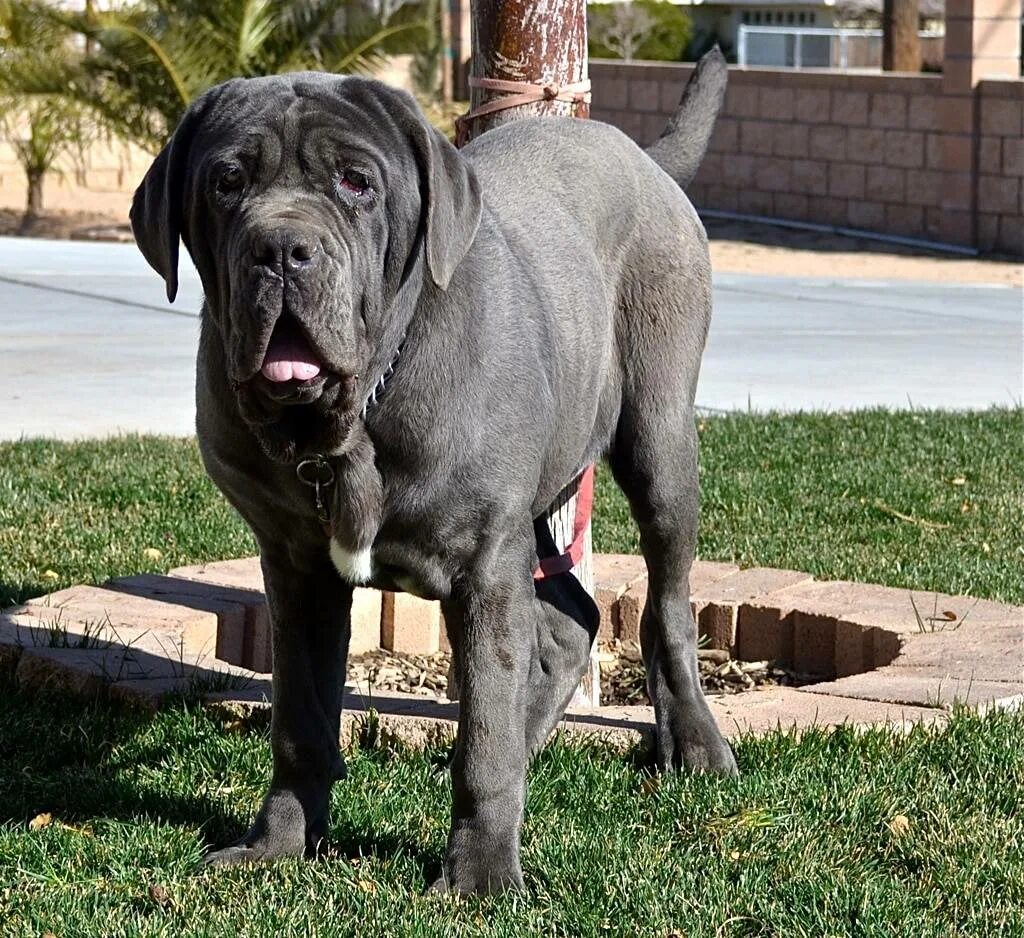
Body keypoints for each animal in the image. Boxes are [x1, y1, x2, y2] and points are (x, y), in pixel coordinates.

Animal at [130, 45, 737, 892]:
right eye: (226, 182)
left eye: (356, 181)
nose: (280, 249)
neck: (348, 421)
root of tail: (642, 155)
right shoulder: (297, 569)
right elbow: (301, 719)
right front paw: (277, 845)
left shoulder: (483, 560)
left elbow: (482, 737)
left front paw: (480, 875)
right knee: (571, 618)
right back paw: (535, 738)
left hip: (658, 437)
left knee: (667, 603)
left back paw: (698, 745)